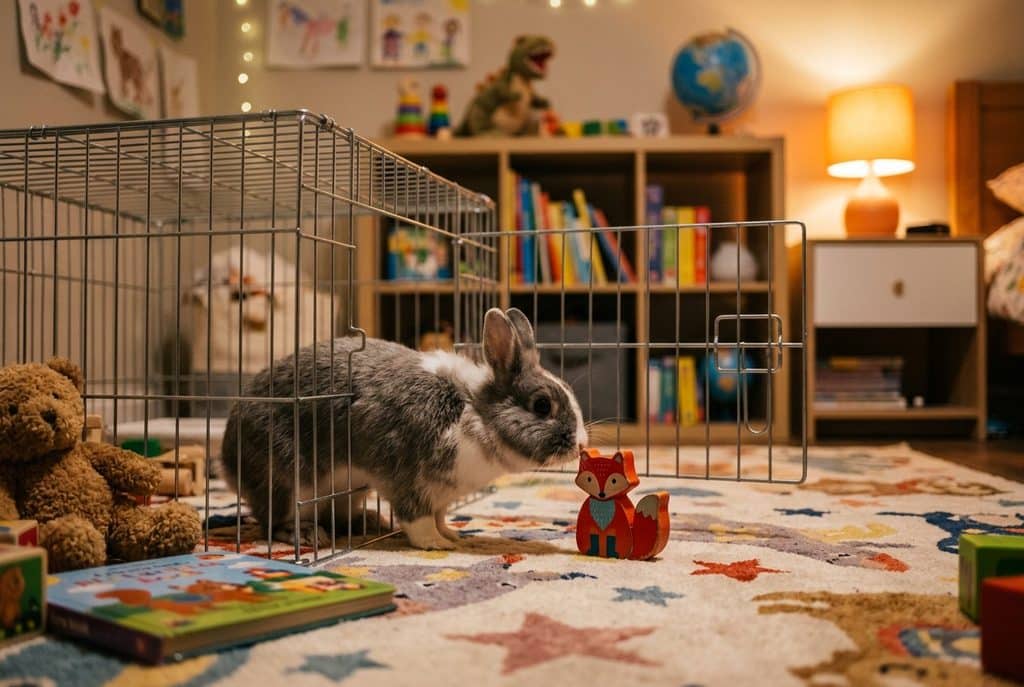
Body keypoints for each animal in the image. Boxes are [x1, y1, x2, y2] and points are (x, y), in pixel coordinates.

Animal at [220, 307, 587, 550]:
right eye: (543, 405)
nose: (581, 445)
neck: (475, 411)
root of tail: (227, 459)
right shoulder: (408, 480)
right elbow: (418, 521)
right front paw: (439, 545)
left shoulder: (440, 495)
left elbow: (439, 516)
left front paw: (452, 534)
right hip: (289, 483)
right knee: (272, 522)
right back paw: (310, 535)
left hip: (349, 490)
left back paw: (369, 521)